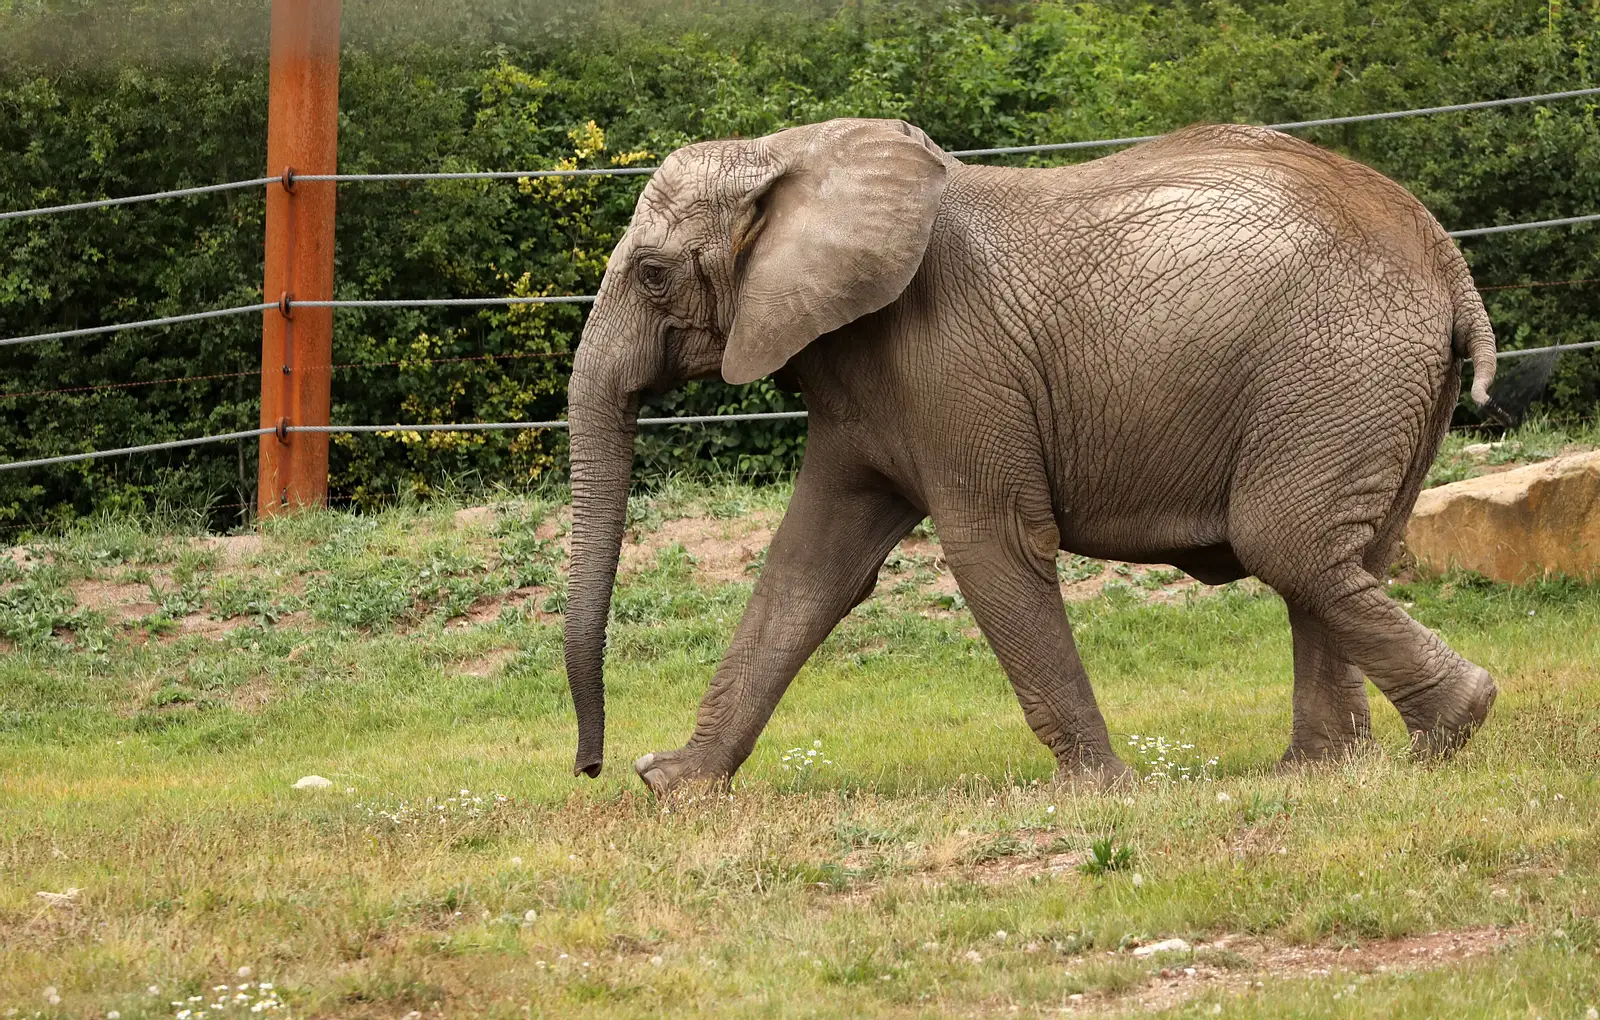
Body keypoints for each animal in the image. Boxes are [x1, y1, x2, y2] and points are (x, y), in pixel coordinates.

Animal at [560, 115, 1497, 796]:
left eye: (650, 275)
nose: (591, 768)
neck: (789, 153)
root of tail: (1446, 259)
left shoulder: (952, 362)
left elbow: (992, 548)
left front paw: (1100, 793)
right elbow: (811, 569)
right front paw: (677, 787)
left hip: (1340, 364)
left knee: (1288, 544)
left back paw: (1454, 727)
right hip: (1371, 382)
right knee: (1342, 556)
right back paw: (1323, 770)